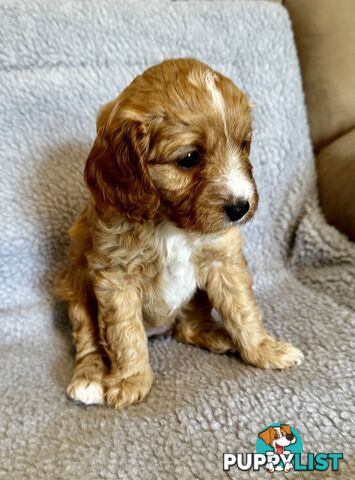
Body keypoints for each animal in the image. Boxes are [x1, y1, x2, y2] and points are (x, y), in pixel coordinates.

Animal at [56, 57, 304, 408]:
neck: (171, 222)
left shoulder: (224, 260)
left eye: (244, 146)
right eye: (189, 158)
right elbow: (124, 333)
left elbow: (242, 308)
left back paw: (218, 335)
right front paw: (131, 380)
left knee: (188, 327)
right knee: (89, 338)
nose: (240, 207)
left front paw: (263, 350)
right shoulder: (115, 277)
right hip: (76, 288)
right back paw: (89, 378)